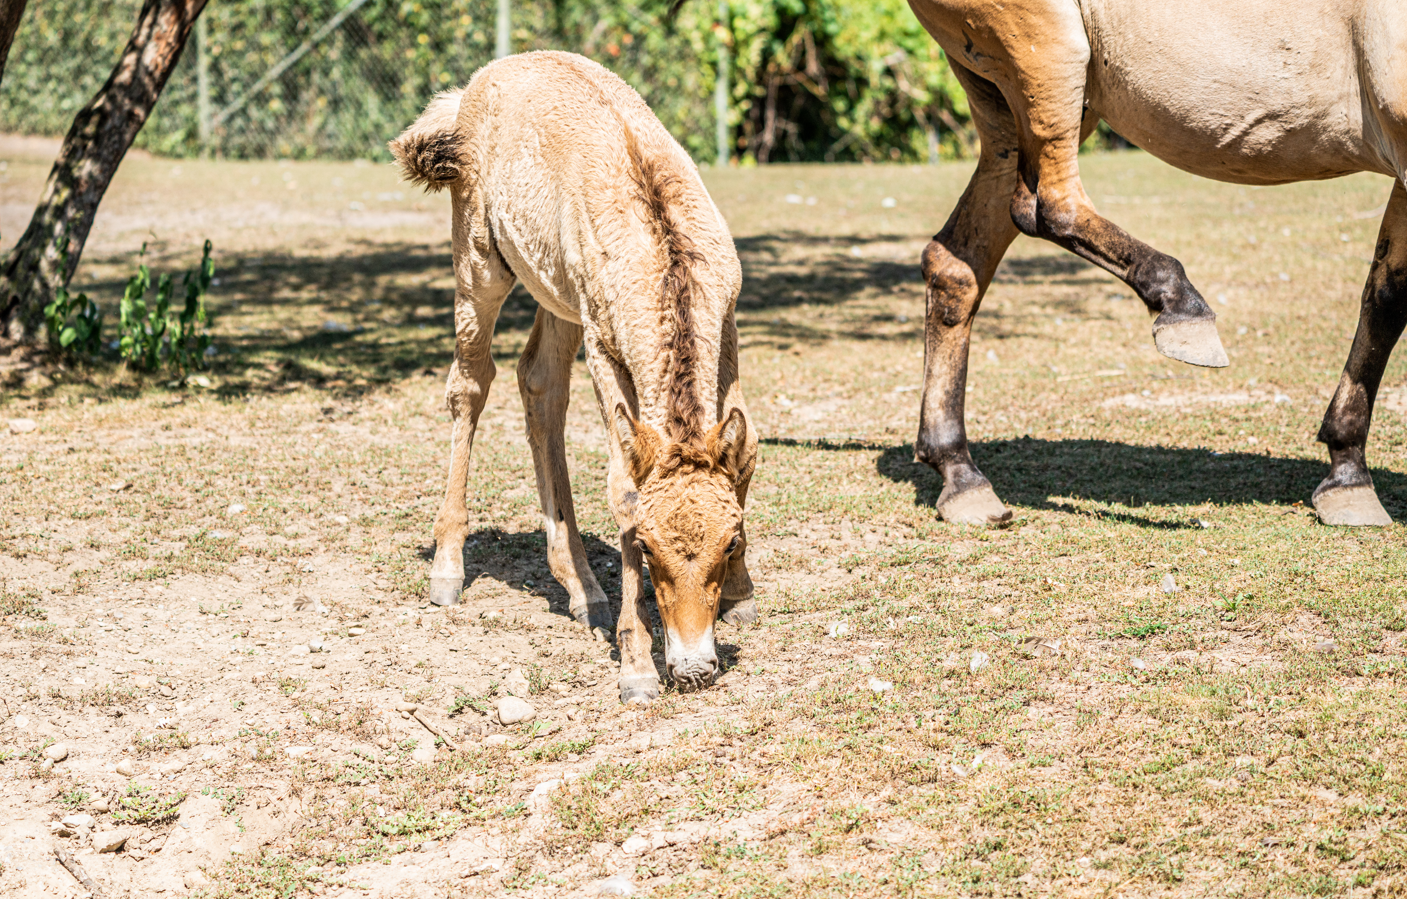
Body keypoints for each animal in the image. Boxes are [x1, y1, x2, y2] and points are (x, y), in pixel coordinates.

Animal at [390, 51, 758, 705]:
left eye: (731, 542)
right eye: (645, 547)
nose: (693, 667)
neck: (668, 254)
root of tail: (469, 90)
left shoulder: (728, 322)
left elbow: (746, 450)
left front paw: (740, 596)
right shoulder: (602, 342)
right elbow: (623, 486)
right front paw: (636, 668)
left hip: (555, 293)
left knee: (537, 382)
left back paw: (582, 589)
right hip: (479, 262)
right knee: (470, 383)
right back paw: (448, 568)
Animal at [905, 0, 1407, 526]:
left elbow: (1387, 300)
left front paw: (1348, 474)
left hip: (1011, 103)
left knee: (956, 265)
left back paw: (960, 475)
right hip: (1047, 55)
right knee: (1048, 206)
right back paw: (1183, 308)